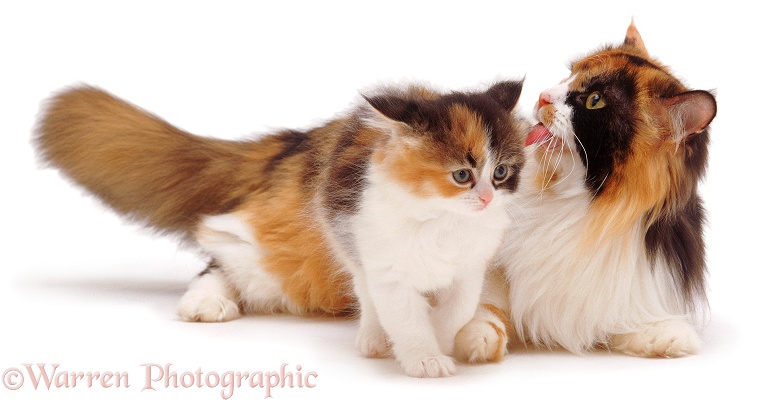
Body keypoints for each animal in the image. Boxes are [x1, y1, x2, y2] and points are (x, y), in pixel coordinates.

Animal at [454, 22, 716, 362]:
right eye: (570, 75)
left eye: (595, 100)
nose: (542, 96)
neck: (582, 204)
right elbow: (486, 301)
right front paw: (476, 337)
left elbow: (628, 320)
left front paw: (670, 337)